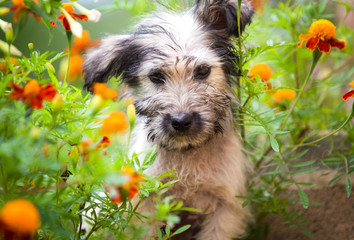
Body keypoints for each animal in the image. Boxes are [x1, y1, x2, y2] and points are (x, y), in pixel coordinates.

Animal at [84, 0, 253, 239]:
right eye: (156, 76)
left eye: (203, 71)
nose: (181, 121)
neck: (187, 155)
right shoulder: (143, 204)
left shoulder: (225, 209)